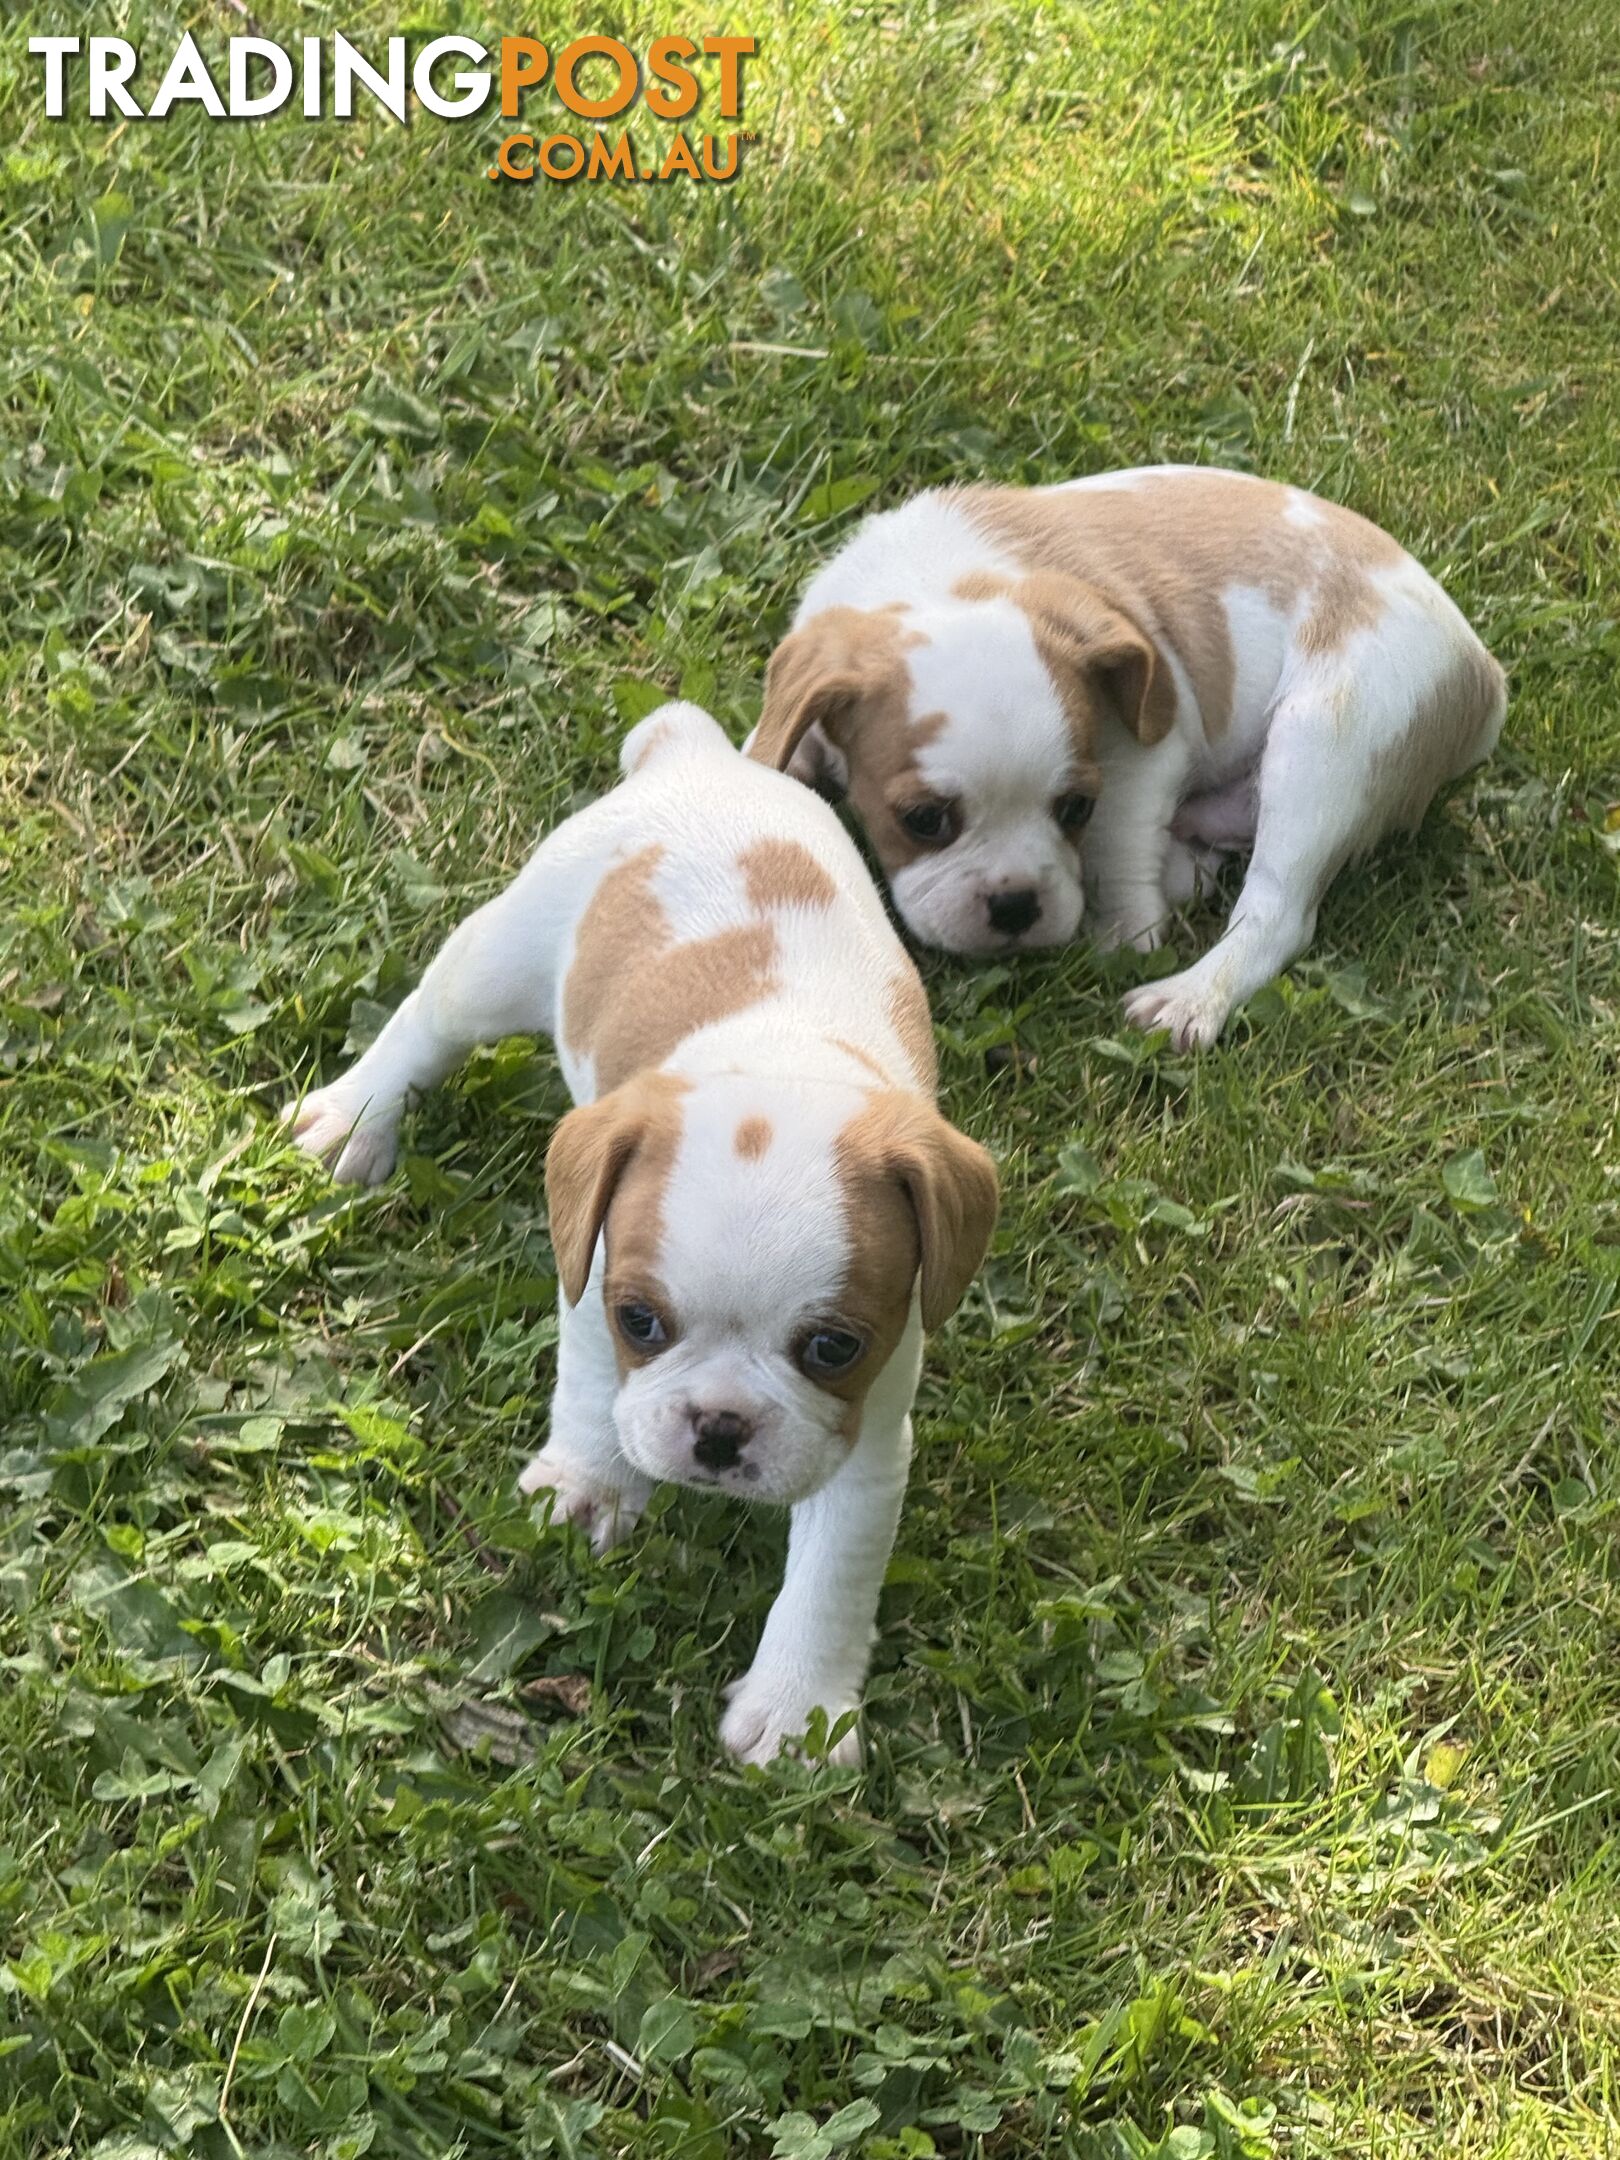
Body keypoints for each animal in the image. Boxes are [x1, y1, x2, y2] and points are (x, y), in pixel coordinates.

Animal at [282, 699, 997, 1762]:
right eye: (642, 1324)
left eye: (832, 1347)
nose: (719, 1429)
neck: (781, 1061)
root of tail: (694, 755)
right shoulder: (589, 1285)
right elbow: (588, 1396)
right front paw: (589, 1486)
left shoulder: (867, 1432)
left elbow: (831, 1581)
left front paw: (800, 1712)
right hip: (504, 954)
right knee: (425, 1021)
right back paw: (356, 1118)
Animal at [747, 464, 1512, 1045]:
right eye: (924, 820)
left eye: (1075, 807)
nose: (1016, 906)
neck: (943, 587)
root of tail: (1482, 672)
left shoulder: (1146, 751)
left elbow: (1119, 845)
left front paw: (1125, 938)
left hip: (1328, 739)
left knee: (1276, 910)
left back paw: (1189, 996)